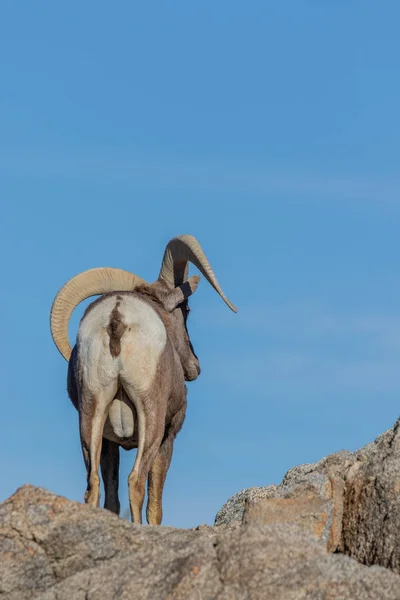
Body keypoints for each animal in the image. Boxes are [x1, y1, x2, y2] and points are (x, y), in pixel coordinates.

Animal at [51, 234, 236, 524]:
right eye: (185, 309)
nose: (194, 367)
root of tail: (117, 317)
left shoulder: (109, 443)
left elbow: (111, 498)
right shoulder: (168, 436)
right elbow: (155, 504)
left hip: (92, 411)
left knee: (93, 485)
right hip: (151, 414)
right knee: (136, 481)